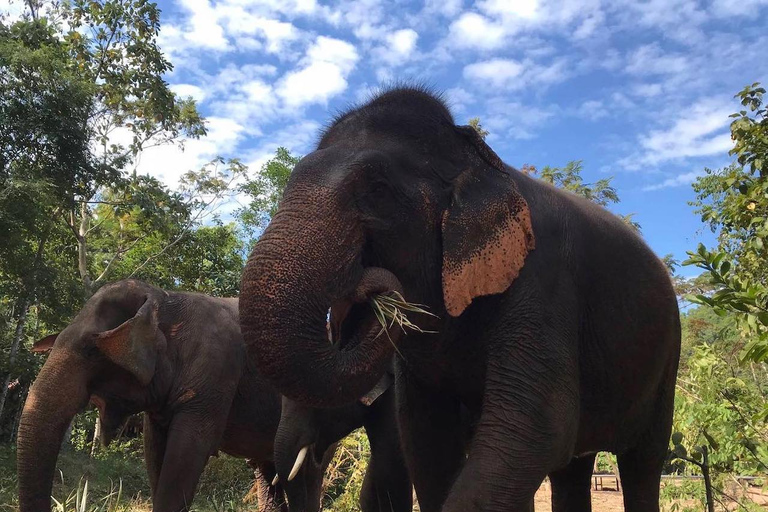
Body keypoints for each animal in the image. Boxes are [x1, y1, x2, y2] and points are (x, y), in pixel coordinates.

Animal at [15, 280, 412, 512]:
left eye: (90, 350)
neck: (165, 299)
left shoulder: (216, 372)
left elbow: (188, 452)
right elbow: (155, 452)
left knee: (306, 474)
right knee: (270, 473)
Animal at [238, 87, 680, 512]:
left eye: (378, 191)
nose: (367, 291)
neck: (480, 160)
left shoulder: (544, 279)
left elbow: (535, 426)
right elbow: (427, 438)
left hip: (665, 363)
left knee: (643, 462)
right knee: (572, 468)